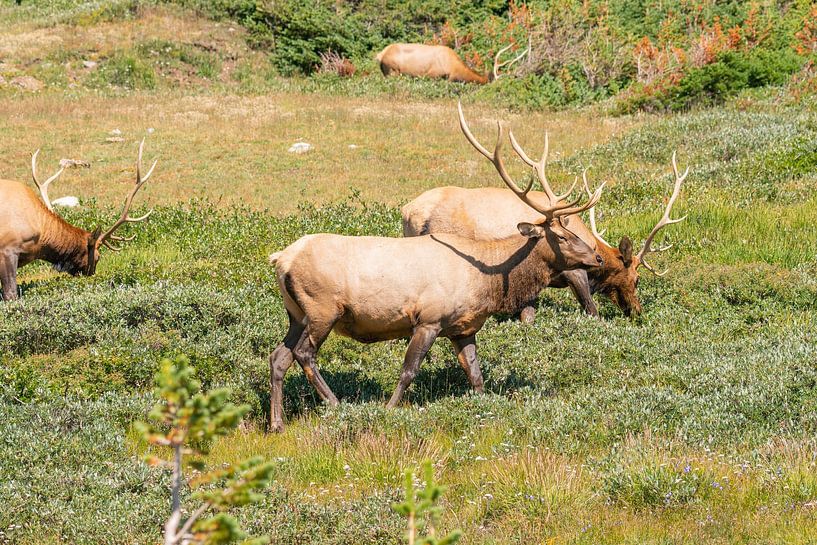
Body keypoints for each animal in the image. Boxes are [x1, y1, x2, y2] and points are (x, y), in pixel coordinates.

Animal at [266, 105, 606, 432]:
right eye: (563, 236)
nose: (597, 257)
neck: (487, 283)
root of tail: (281, 259)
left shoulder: (464, 327)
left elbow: (475, 374)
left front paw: (485, 409)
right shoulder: (429, 318)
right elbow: (408, 370)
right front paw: (388, 409)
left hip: (296, 313)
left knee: (279, 356)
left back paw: (277, 424)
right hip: (323, 308)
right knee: (304, 353)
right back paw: (336, 404)